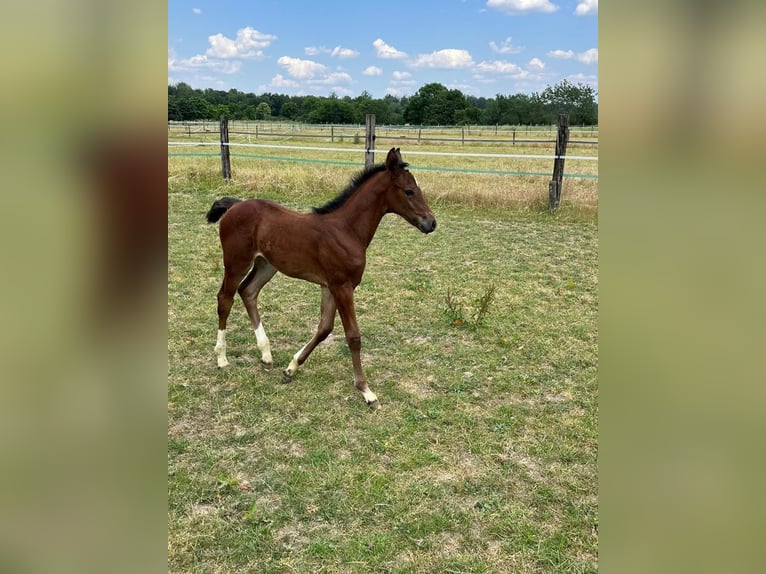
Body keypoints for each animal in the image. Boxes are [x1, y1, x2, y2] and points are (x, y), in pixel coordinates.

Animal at [207, 148, 438, 410]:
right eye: (409, 191)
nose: (431, 222)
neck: (346, 230)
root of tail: (235, 205)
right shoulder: (342, 286)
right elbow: (353, 336)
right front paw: (366, 391)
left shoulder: (329, 287)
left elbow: (324, 328)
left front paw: (291, 368)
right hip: (236, 262)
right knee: (225, 298)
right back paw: (222, 358)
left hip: (267, 264)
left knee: (248, 291)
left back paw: (266, 354)